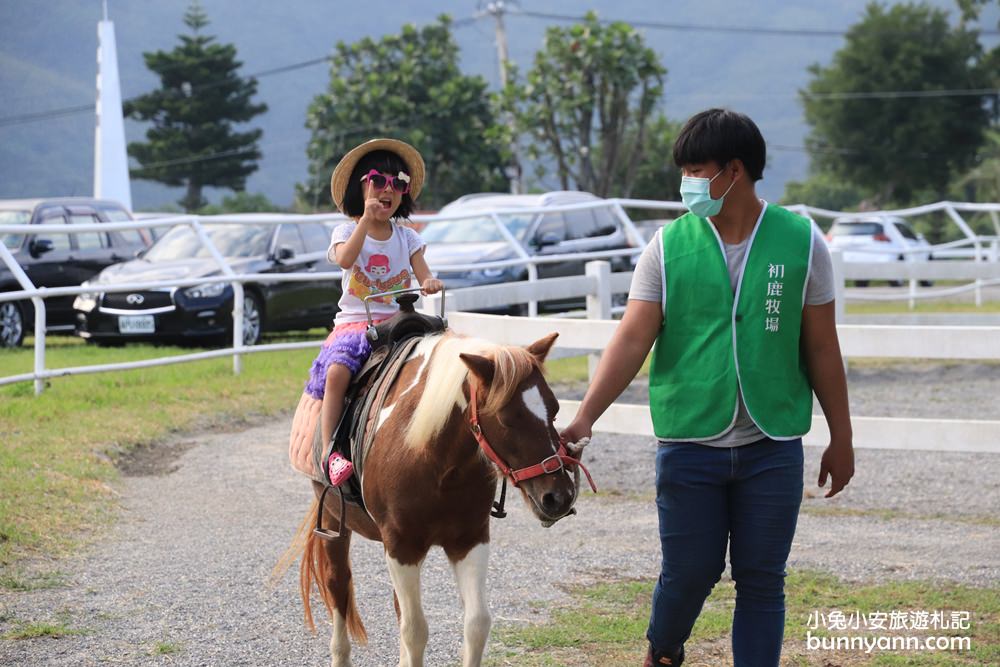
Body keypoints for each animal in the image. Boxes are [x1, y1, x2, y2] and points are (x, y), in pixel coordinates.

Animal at [290, 332, 584, 667]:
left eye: (555, 409)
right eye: (507, 419)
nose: (559, 496)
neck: (436, 458)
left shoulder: (469, 540)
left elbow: (476, 623)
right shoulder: (401, 546)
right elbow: (415, 630)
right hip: (333, 522)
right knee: (338, 586)